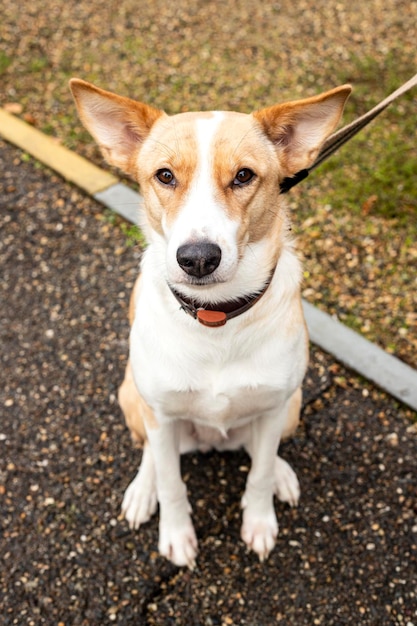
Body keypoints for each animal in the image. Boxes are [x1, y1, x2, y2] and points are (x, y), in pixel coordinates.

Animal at [70, 78, 350, 564]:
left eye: (244, 176)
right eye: (165, 175)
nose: (198, 258)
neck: (217, 318)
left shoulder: (275, 407)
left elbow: (258, 473)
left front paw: (259, 521)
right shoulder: (160, 413)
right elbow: (171, 481)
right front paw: (176, 534)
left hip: (293, 406)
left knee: (264, 451)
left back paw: (281, 472)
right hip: (132, 397)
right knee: (151, 453)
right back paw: (142, 491)